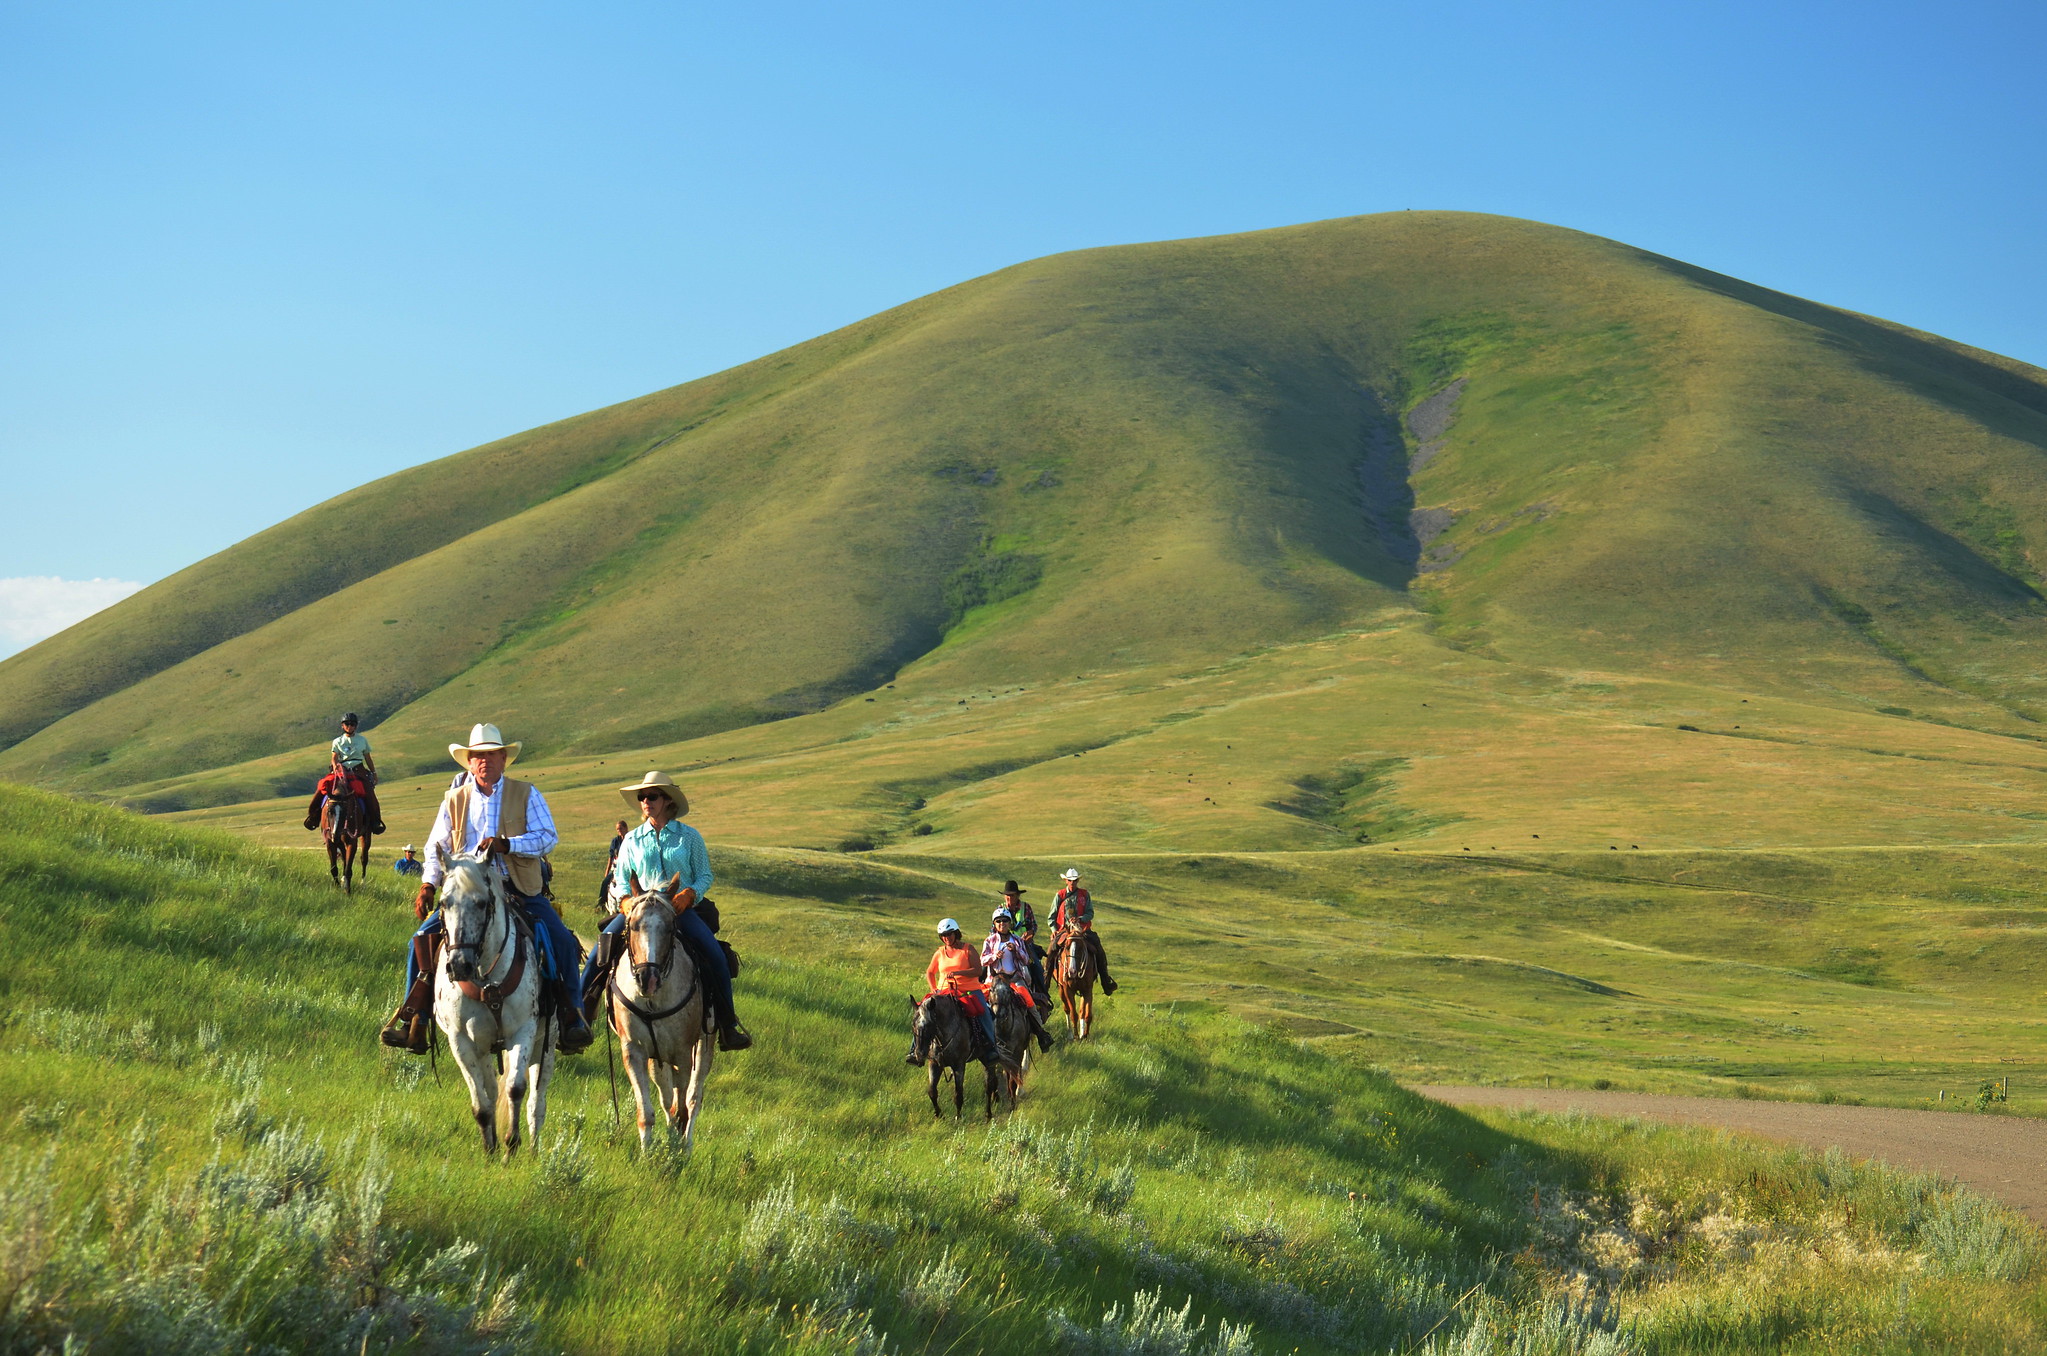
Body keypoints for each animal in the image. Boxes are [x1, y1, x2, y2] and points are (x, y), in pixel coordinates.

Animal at [433, 852, 556, 1155]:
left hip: (546, 1045)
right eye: (444, 902)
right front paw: (490, 1150)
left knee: (537, 1102)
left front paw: (511, 1145)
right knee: (491, 1089)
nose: (459, 966)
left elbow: (515, 1088)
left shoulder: (523, 1032)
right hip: (484, 1047)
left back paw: (534, 1151)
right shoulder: (461, 1040)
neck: (487, 979)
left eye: (482, 903)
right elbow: (481, 1102)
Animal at [601, 876, 716, 1155]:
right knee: (667, 1098)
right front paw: (647, 1154)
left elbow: (684, 1106)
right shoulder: (634, 1051)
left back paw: (686, 1146)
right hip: (657, 1058)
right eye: (632, 926)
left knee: (693, 1099)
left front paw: (678, 1152)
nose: (647, 979)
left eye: (671, 927)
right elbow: (647, 1112)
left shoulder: (683, 1054)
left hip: (704, 1044)